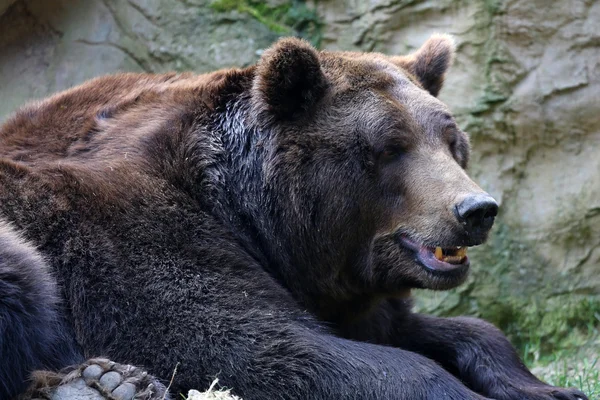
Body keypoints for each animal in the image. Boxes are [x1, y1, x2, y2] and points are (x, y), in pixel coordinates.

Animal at [0, 35, 584, 400]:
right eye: (390, 147)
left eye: (450, 140)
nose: (476, 209)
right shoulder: (134, 233)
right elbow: (242, 341)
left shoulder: (340, 288)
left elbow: (451, 329)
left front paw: (551, 389)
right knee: (22, 278)